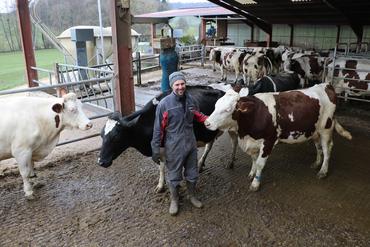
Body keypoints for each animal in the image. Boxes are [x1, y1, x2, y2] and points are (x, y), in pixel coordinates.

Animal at [97, 87, 228, 193]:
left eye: (116, 137)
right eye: (101, 135)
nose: (101, 162)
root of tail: (220, 91)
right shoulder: (158, 150)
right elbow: (161, 167)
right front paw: (161, 185)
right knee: (209, 145)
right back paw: (200, 164)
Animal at [204, 84, 352, 191]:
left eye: (227, 110)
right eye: (216, 105)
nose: (207, 123)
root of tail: (326, 85)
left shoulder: (268, 141)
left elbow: (260, 163)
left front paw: (255, 183)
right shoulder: (253, 142)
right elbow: (254, 160)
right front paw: (252, 174)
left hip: (326, 128)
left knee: (327, 149)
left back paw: (323, 171)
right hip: (314, 131)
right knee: (319, 147)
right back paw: (316, 163)